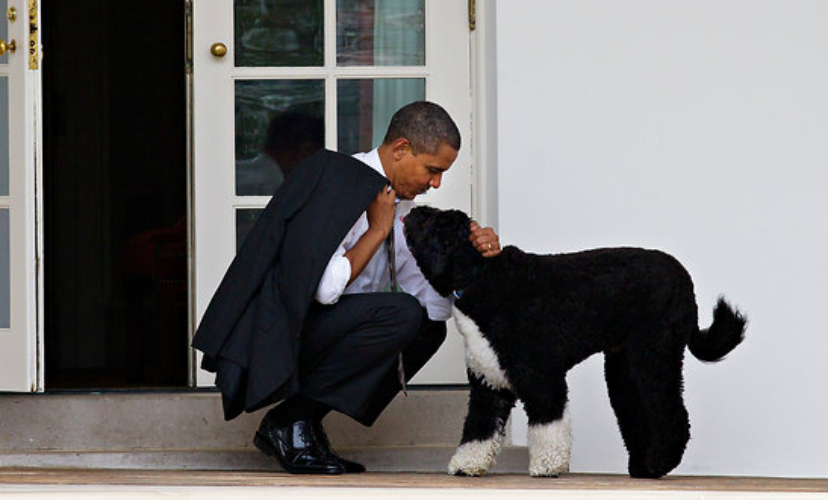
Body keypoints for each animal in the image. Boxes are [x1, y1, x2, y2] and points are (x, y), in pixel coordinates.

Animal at [404, 205, 748, 478]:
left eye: (432, 221)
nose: (412, 209)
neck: (481, 276)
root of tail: (684, 280)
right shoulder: (488, 383)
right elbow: (479, 427)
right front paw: (467, 464)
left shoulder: (541, 377)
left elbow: (548, 424)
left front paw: (547, 466)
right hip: (623, 366)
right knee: (636, 413)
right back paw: (642, 467)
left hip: (654, 354)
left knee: (671, 413)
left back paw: (660, 463)